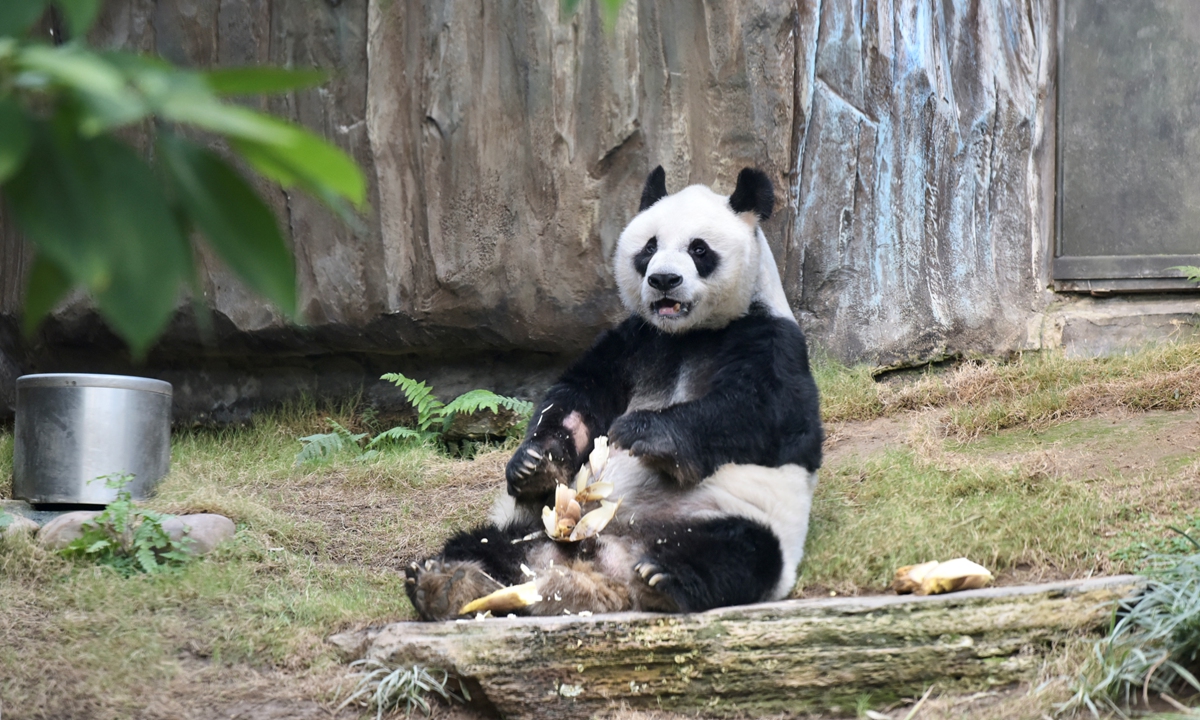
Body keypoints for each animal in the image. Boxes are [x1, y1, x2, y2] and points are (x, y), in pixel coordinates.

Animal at [404, 166, 823, 620]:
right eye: (649, 247)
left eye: (699, 249)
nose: (663, 280)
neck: (688, 336)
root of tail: (609, 572)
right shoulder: (633, 342)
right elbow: (577, 399)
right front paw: (534, 466)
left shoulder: (770, 338)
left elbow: (767, 412)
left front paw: (644, 433)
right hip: (530, 527)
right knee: (483, 543)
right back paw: (447, 582)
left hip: (727, 515)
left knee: (742, 552)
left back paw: (666, 579)